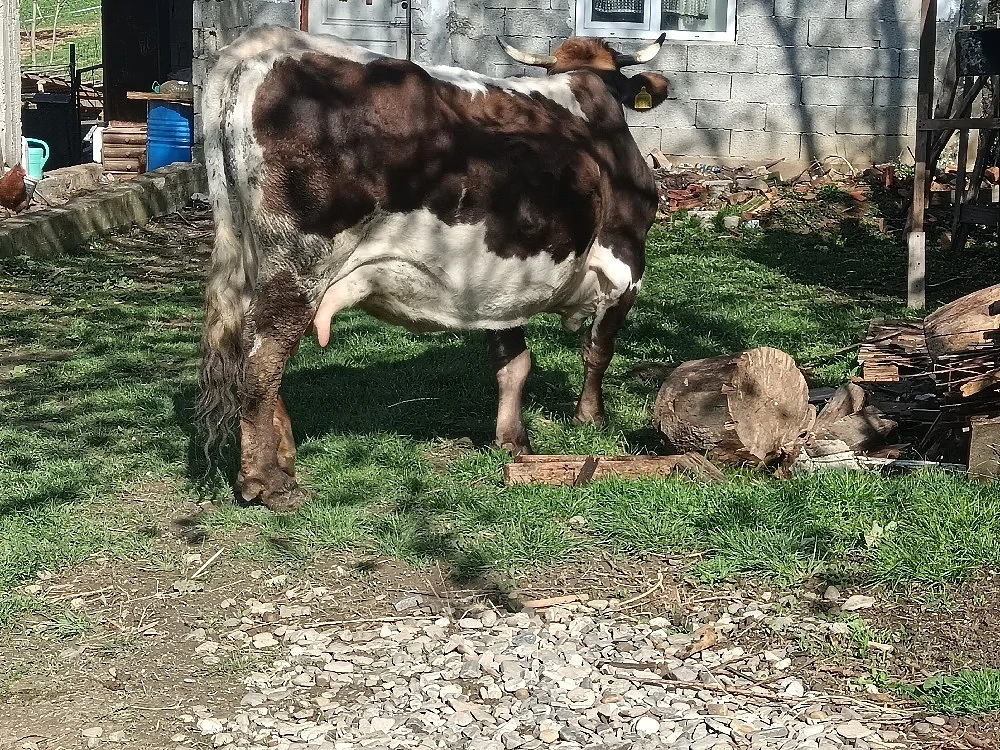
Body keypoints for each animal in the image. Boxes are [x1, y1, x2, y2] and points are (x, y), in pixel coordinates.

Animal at [197, 24, 670, 512]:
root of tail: (265, 45)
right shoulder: (627, 263)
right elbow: (599, 349)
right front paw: (590, 418)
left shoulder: (502, 282)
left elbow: (514, 362)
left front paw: (513, 441)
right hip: (299, 263)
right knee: (263, 360)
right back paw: (269, 483)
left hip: (253, 262)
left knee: (253, 351)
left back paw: (283, 457)